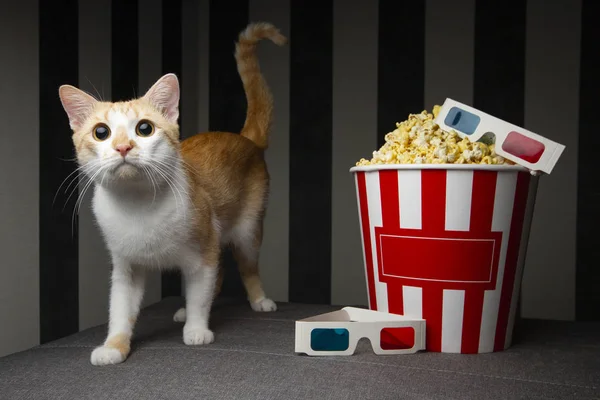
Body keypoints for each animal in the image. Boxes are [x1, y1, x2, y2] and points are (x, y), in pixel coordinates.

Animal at [57, 21, 288, 366]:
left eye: (144, 129)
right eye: (101, 132)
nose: (123, 147)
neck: (138, 207)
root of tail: (247, 138)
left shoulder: (203, 253)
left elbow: (200, 295)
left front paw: (197, 329)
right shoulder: (126, 267)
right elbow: (120, 310)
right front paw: (114, 346)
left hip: (248, 231)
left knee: (246, 268)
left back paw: (259, 300)